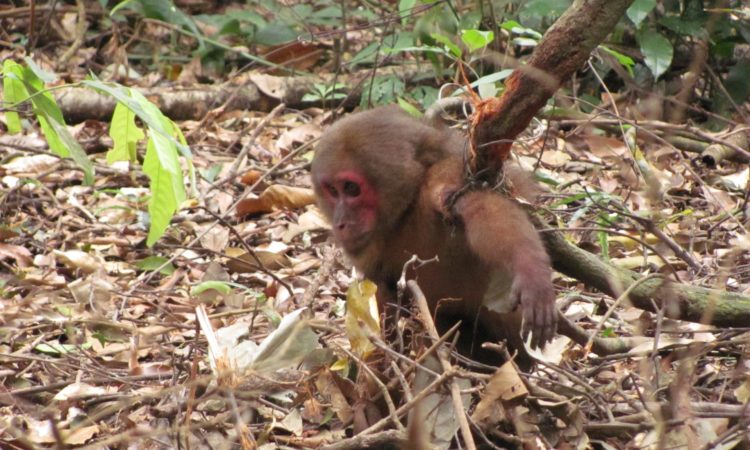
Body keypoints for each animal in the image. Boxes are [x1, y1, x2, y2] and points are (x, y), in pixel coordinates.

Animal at [312, 104, 560, 358]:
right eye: (333, 191)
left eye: (352, 188)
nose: (340, 222)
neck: (404, 214)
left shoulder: (442, 178)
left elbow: (482, 209)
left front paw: (530, 268)